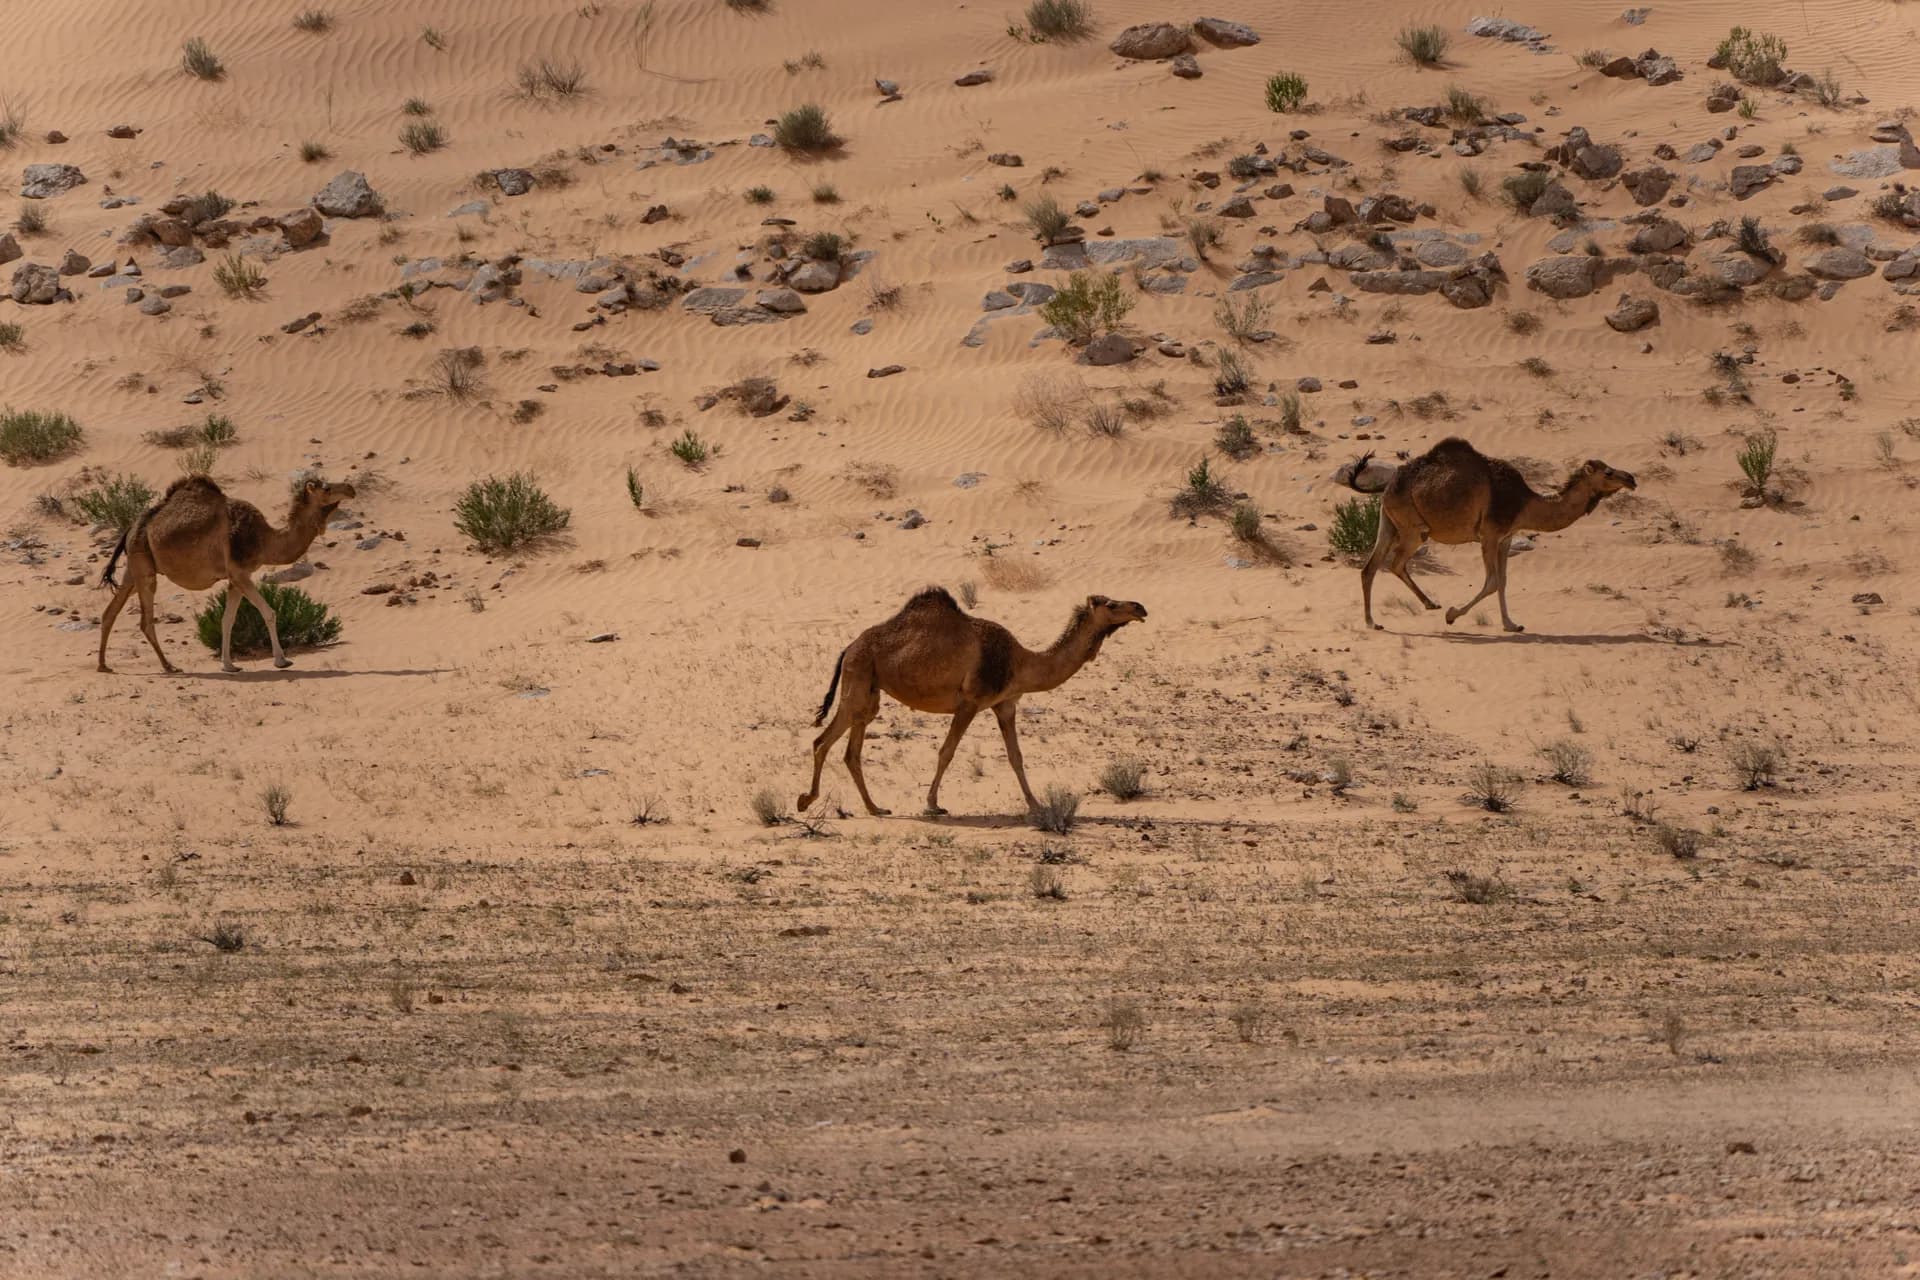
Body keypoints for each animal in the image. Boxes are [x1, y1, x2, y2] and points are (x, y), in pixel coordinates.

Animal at [97, 475, 356, 674]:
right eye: (327, 488)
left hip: (134, 568)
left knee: (110, 612)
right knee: (145, 620)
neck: (265, 540)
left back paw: (103, 665)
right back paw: (168, 666)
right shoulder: (240, 572)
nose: (351, 488)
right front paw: (282, 660)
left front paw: (229, 665)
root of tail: (131, 527)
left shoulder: (234, 578)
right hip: (144, 568)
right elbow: (269, 612)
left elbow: (227, 620)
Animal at [799, 588, 1149, 818]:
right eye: (1111, 604)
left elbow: (1016, 757)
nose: (1140, 607)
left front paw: (1036, 805)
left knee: (852, 750)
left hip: (870, 690)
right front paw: (932, 804)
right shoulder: (970, 702)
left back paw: (875, 808)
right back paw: (806, 800)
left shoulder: (1006, 704)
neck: (1021, 662)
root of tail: (848, 647)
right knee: (822, 741)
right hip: (859, 677)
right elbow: (946, 752)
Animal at [1338, 437, 1635, 633]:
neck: (1525, 502)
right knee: (1395, 562)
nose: (1631, 478)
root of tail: (1388, 483)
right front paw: (1452, 615)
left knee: (1371, 567)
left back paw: (1380, 619)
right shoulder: (1489, 534)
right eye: (1608, 472)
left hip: (1388, 520)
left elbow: (1503, 582)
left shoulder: (1505, 538)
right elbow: (1492, 582)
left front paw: (1511, 624)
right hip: (1414, 527)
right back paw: (1416, 610)